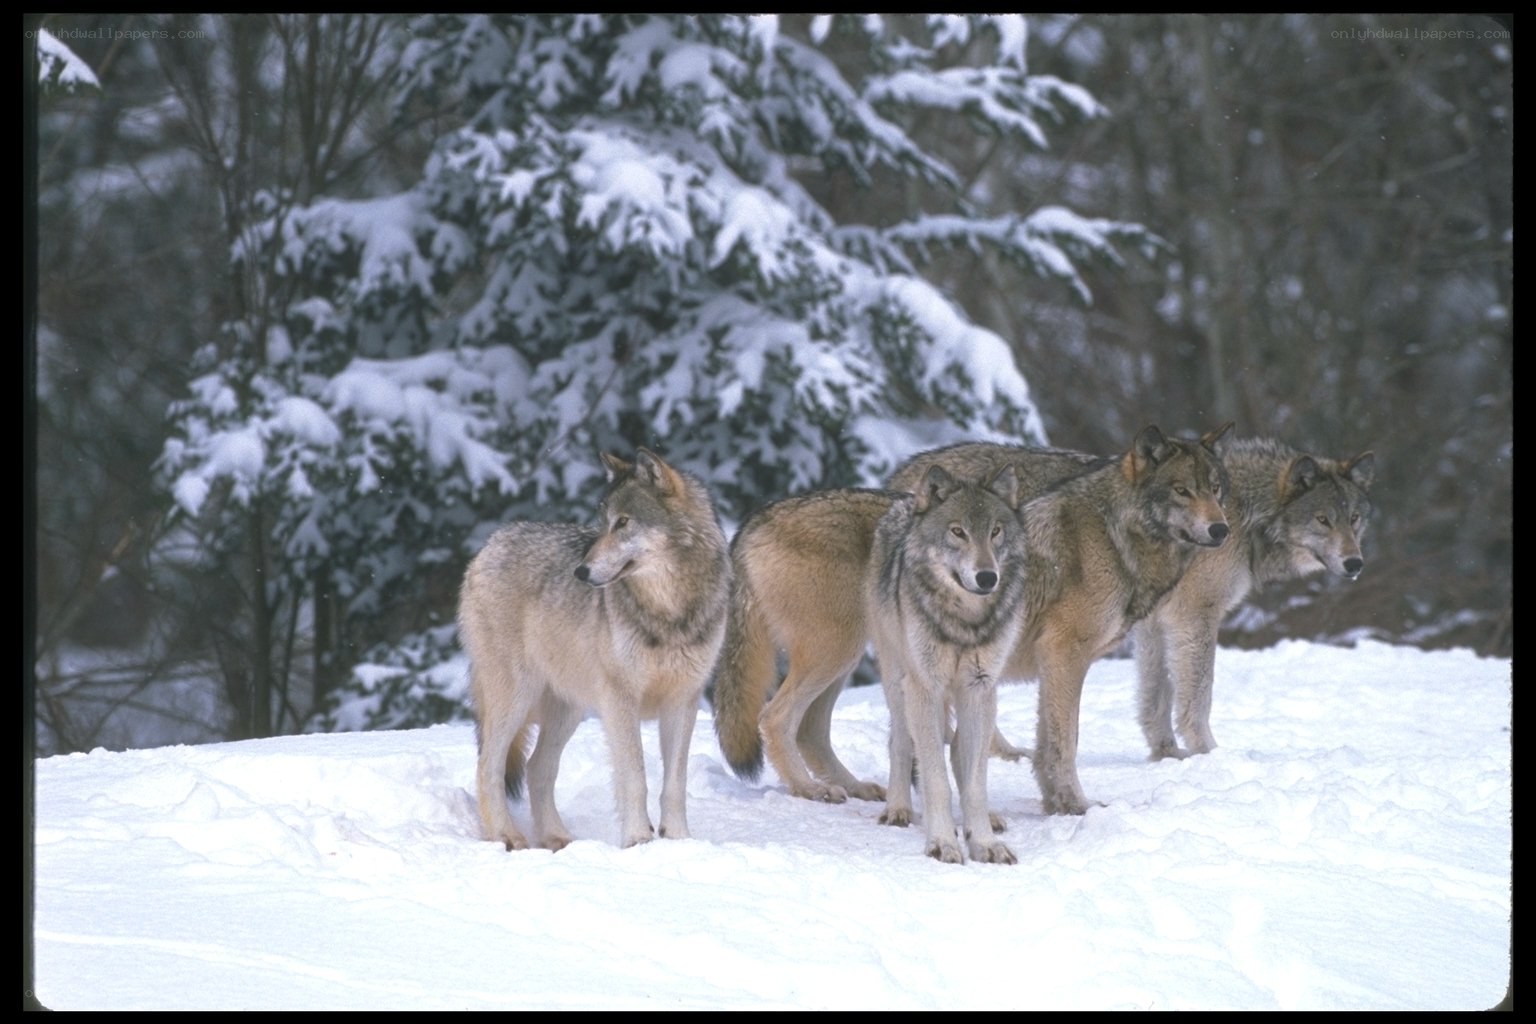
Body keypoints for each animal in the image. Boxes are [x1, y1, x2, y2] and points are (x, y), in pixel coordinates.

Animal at [458, 448, 730, 851]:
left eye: (622, 523)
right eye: (602, 525)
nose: (581, 572)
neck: (669, 611)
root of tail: (492, 543)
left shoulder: (683, 700)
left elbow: (674, 783)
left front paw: (680, 840)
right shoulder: (620, 700)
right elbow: (635, 777)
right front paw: (638, 840)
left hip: (568, 708)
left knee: (537, 767)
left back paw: (556, 838)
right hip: (516, 698)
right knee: (487, 766)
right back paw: (506, 836)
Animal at [866, 464, 1028, 863]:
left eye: (995, 531)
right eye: (958, 531)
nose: (987, 577)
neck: (965, 623)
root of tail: (907, 502)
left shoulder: (979, 687)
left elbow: (974, 782)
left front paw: (983, 841)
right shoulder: (925, 686)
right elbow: (935, 778)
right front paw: (942, 841)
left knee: (956, 748)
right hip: (898, 680)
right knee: (901, 742)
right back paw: (898, 809)